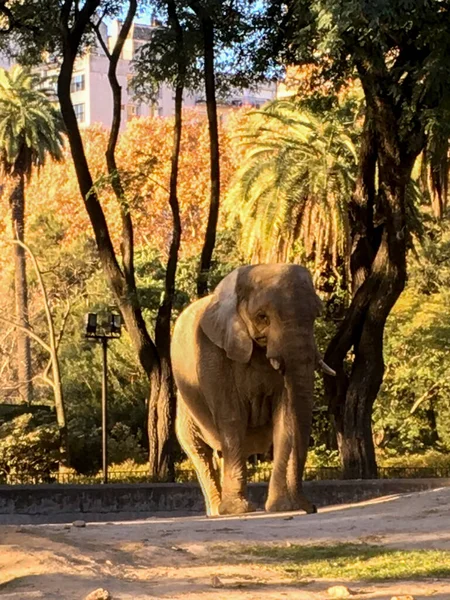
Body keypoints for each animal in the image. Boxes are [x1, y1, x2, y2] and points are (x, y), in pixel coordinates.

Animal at [171, 262, 334, 516]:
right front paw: (238, 510)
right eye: (262, 317)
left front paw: (282, 507)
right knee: (198, 450)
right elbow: (232, 419)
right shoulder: (212, 353)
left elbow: (285, 419)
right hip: (185, 405)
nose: (311, 508)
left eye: (316, 316)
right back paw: (218, 511)